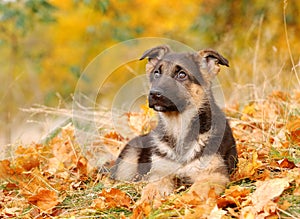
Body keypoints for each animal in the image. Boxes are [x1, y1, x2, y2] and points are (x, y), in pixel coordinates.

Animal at [111, 45, 238, 203]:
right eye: (157, 73)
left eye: (182, 75)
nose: (154, 94)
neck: (178, 126)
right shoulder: (160, 174)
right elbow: (151, 188)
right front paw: (145, 202)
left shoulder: (213, 174)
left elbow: (197, 190)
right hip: (128, 159)